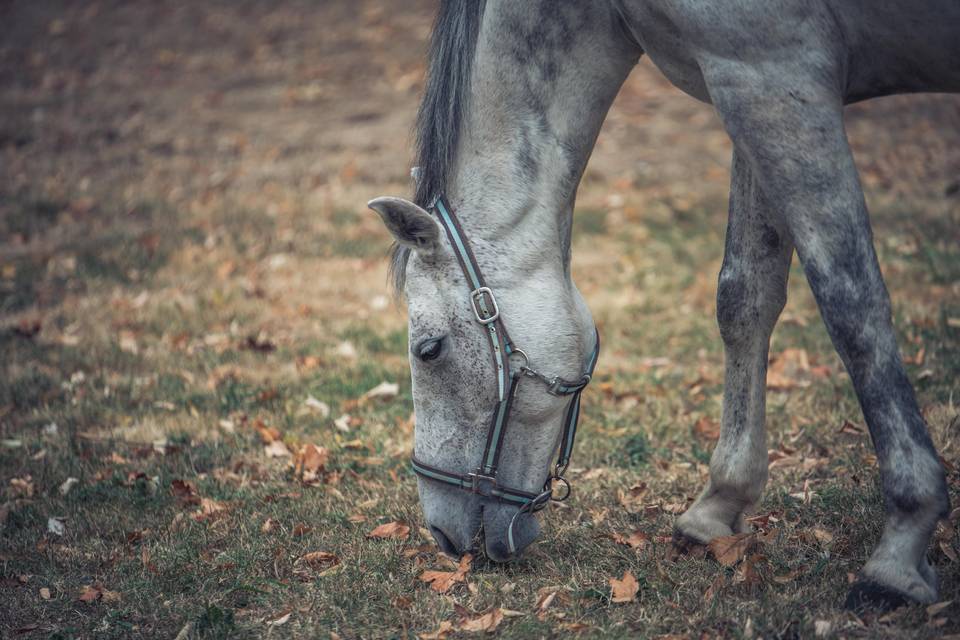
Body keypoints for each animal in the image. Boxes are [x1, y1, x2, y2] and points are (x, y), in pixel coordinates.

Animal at [366, 0, 952, 608]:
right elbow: (744, 297)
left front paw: (899, 550)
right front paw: (719, 504)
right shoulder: (745, 91)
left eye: (429, 349)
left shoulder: (773, 79)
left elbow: (852, 307)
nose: (440, 535)